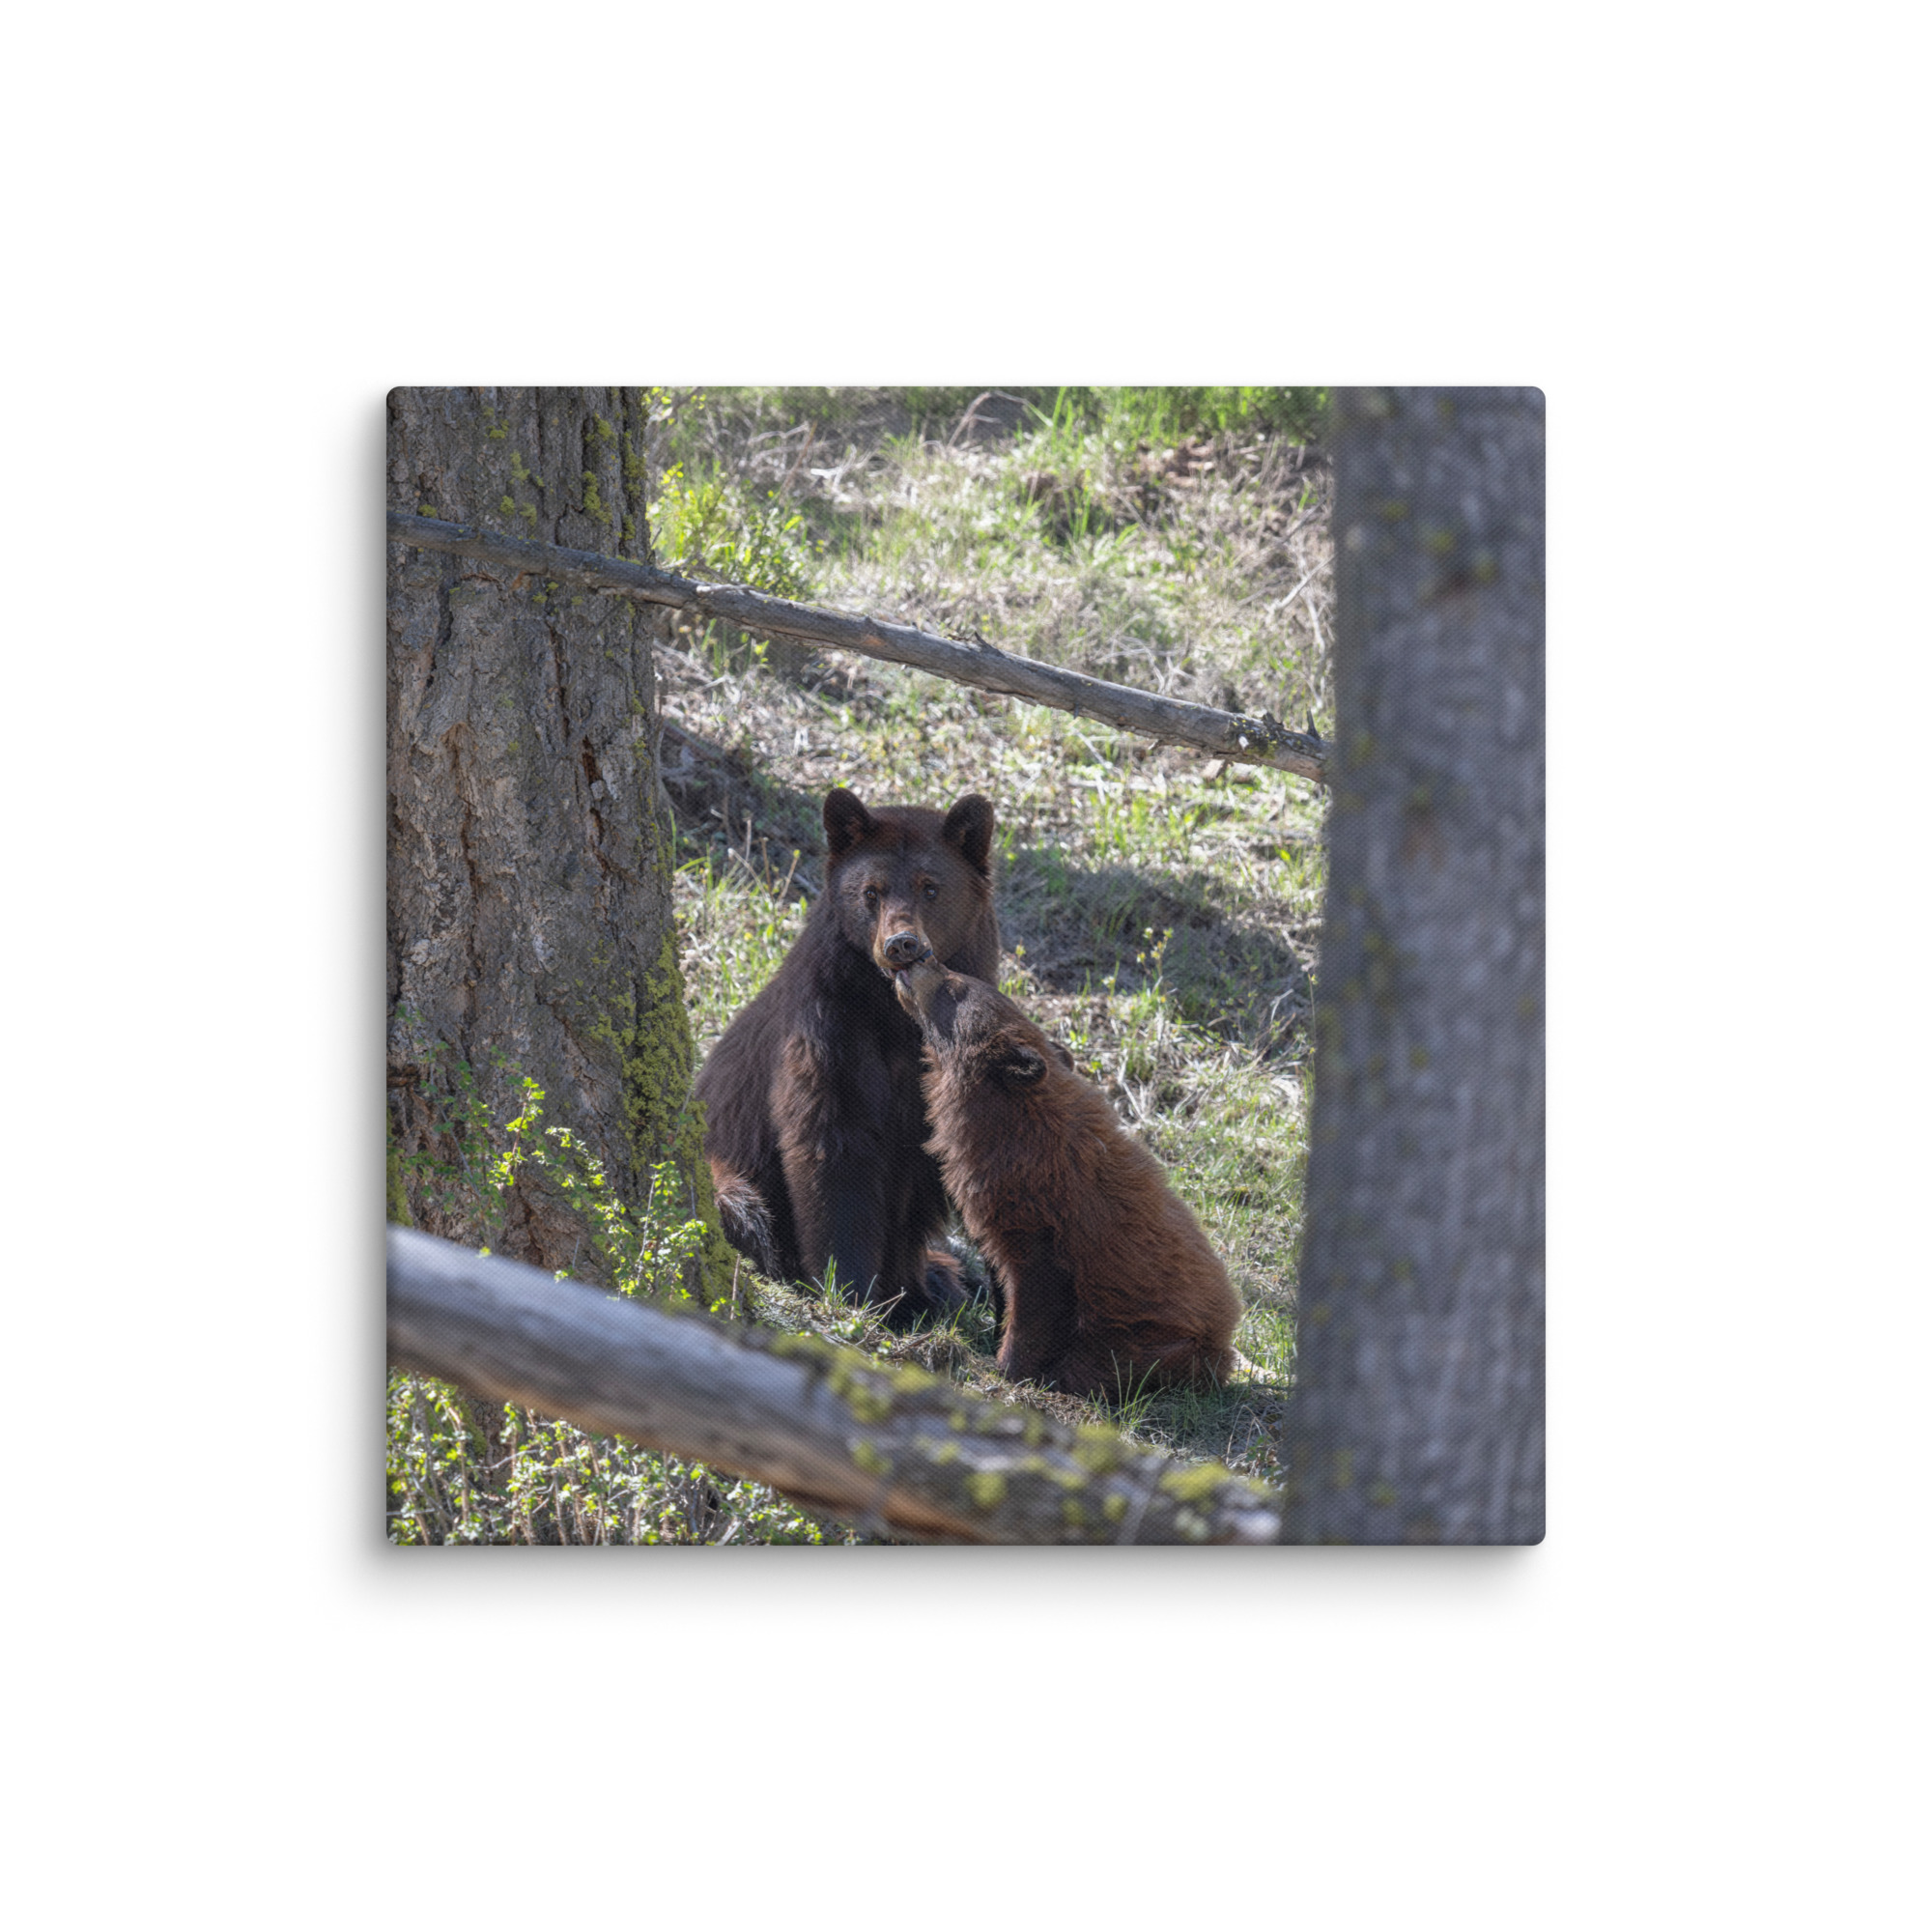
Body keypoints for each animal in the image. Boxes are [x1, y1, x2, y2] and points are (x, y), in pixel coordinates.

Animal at [695, 786, 1000, 1328]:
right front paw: (851, 1290)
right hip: (725, 1173)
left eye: (931, 888)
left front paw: (914, 1290)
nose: (902, 943)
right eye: (871, 892)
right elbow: (832, 1150)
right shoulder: (828, 1031)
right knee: (743, 1208)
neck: (895, 1015)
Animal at [891, 952, 1241, 1399]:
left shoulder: (1042, 1217)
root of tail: (1224, 1342)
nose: (924, 957)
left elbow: (1037, 1295)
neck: (1012, 1124)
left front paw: (1008, 1366)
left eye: (955, 986)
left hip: (1155, 1342)